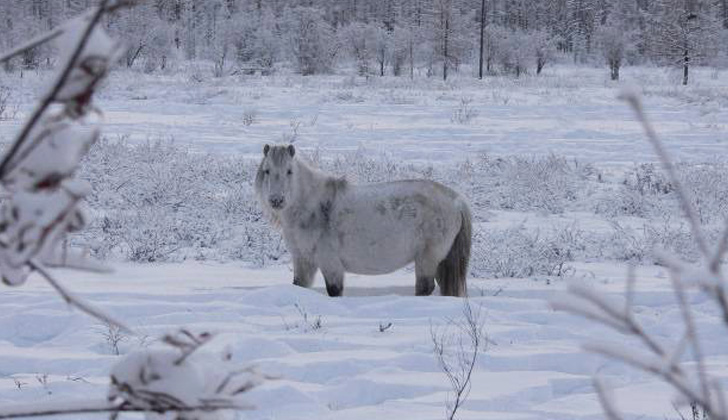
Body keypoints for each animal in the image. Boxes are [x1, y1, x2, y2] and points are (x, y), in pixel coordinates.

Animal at [254, 144, 471, 297]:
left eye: (289, 171)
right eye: (267, 170)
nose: (276, 200)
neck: (313, 208)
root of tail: (457, 200)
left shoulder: (330, 263)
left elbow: (334, 291)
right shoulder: (303, 262)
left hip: (428, 258)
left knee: (425, 288)